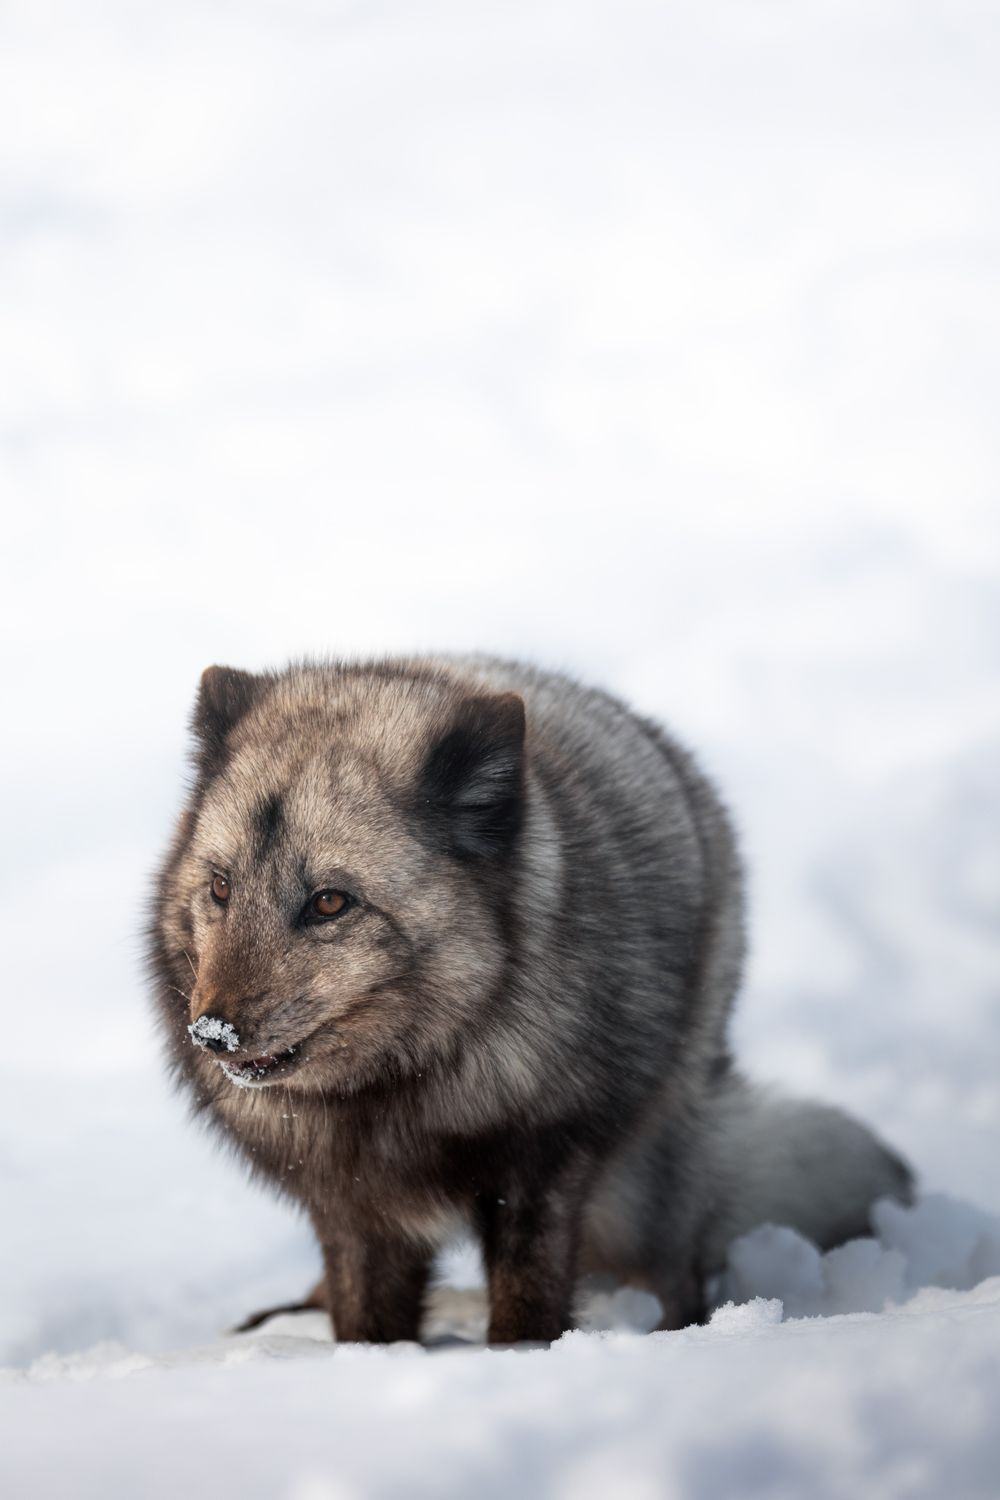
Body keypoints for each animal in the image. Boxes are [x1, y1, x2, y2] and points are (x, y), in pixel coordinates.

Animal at [148, 655, 913, 1344]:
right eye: (220, 887)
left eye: (330, 902)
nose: (212, 1033)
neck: (398, 1091)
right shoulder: (350, 1209)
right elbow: (364, 1325)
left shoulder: (542, 1172)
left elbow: (526, 1308)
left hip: (637, 1194)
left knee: (676, 1275)